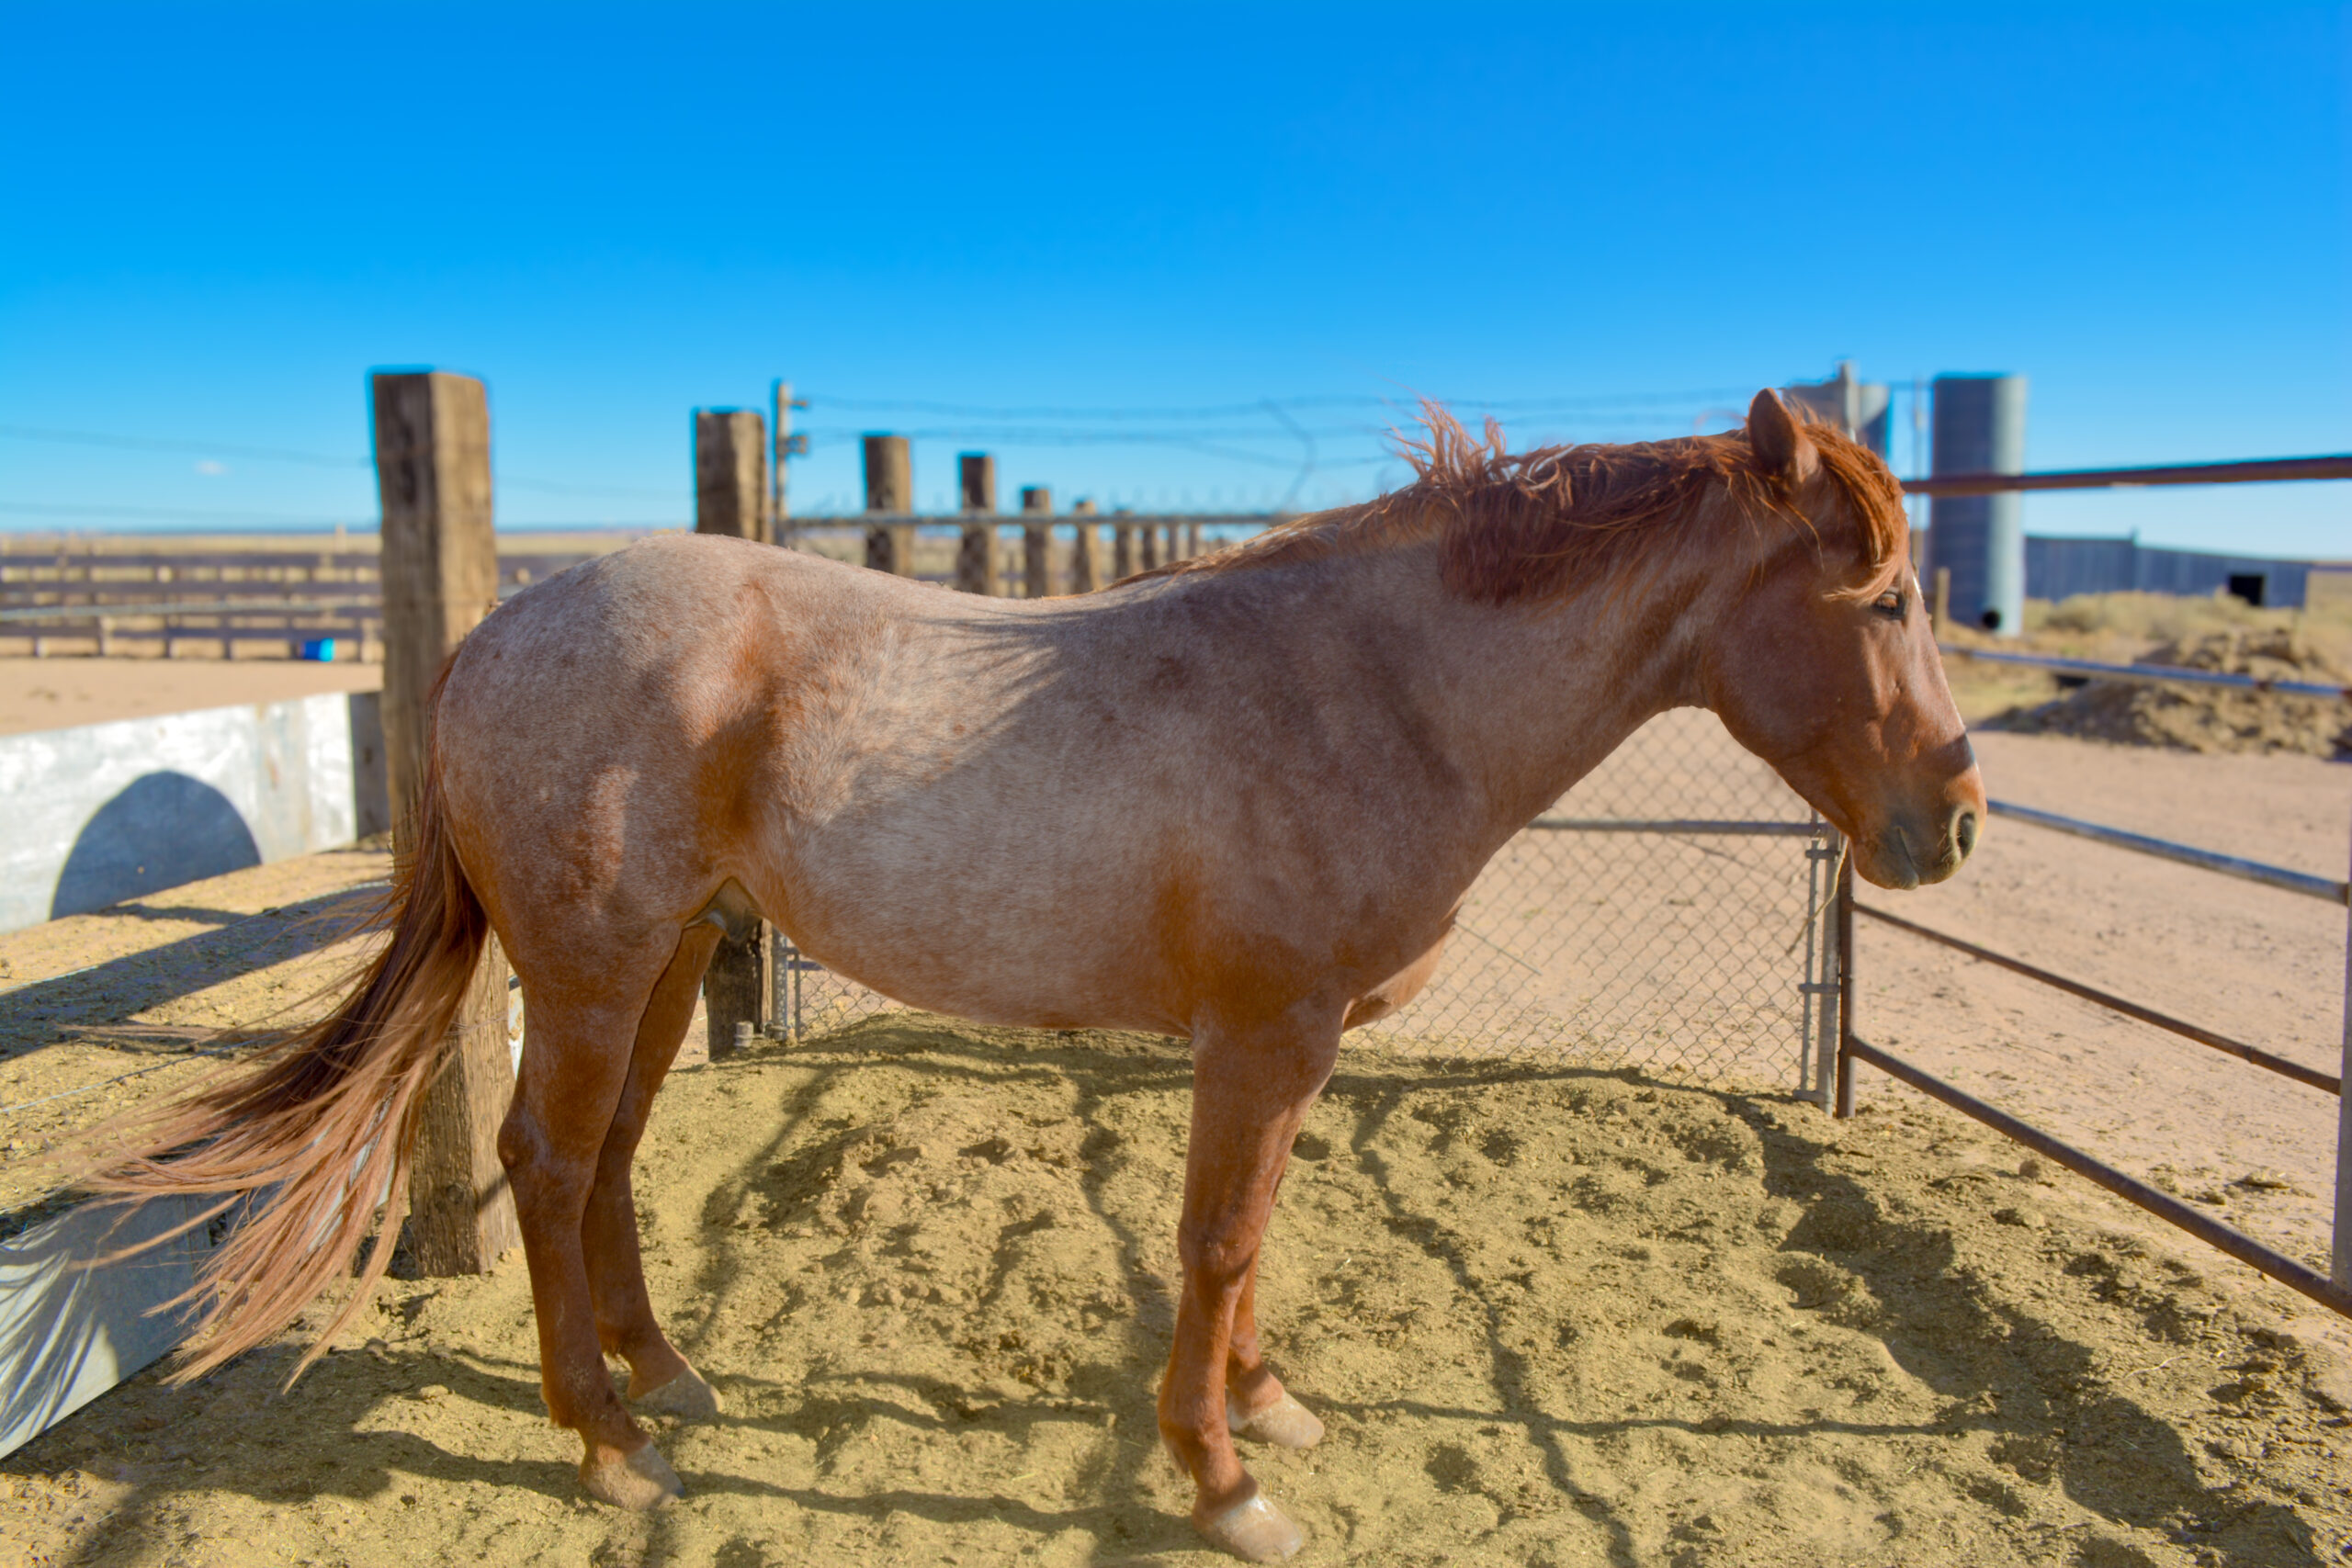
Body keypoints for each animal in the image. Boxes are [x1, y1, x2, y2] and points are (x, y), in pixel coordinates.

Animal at [91, 389, 1982, 1562]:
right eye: (1886, 595)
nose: (1955, 823)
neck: (1373, 688)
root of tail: (497, 628)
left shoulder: (1290, 1048)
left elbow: (1256, 1233)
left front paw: (1265, 1406)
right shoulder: (1262, 1033)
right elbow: (1214, 1239)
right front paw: (1221, 1476)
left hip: (662, 958)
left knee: (609, 1159)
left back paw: (666, 1374)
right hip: (588, 963)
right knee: (548, 1167)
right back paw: (611, 1444)